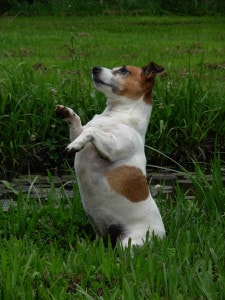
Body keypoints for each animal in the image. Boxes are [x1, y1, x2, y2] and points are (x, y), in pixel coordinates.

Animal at [55, 61, 165, 248]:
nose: (95, 68)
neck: (117, 115)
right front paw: (67, 112)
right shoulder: (79, 131)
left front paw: (74, 145)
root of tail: (163, 235)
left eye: (124, 70)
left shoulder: (113, 146)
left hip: (130, 243)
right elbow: (80, 126)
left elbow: (91, 131)